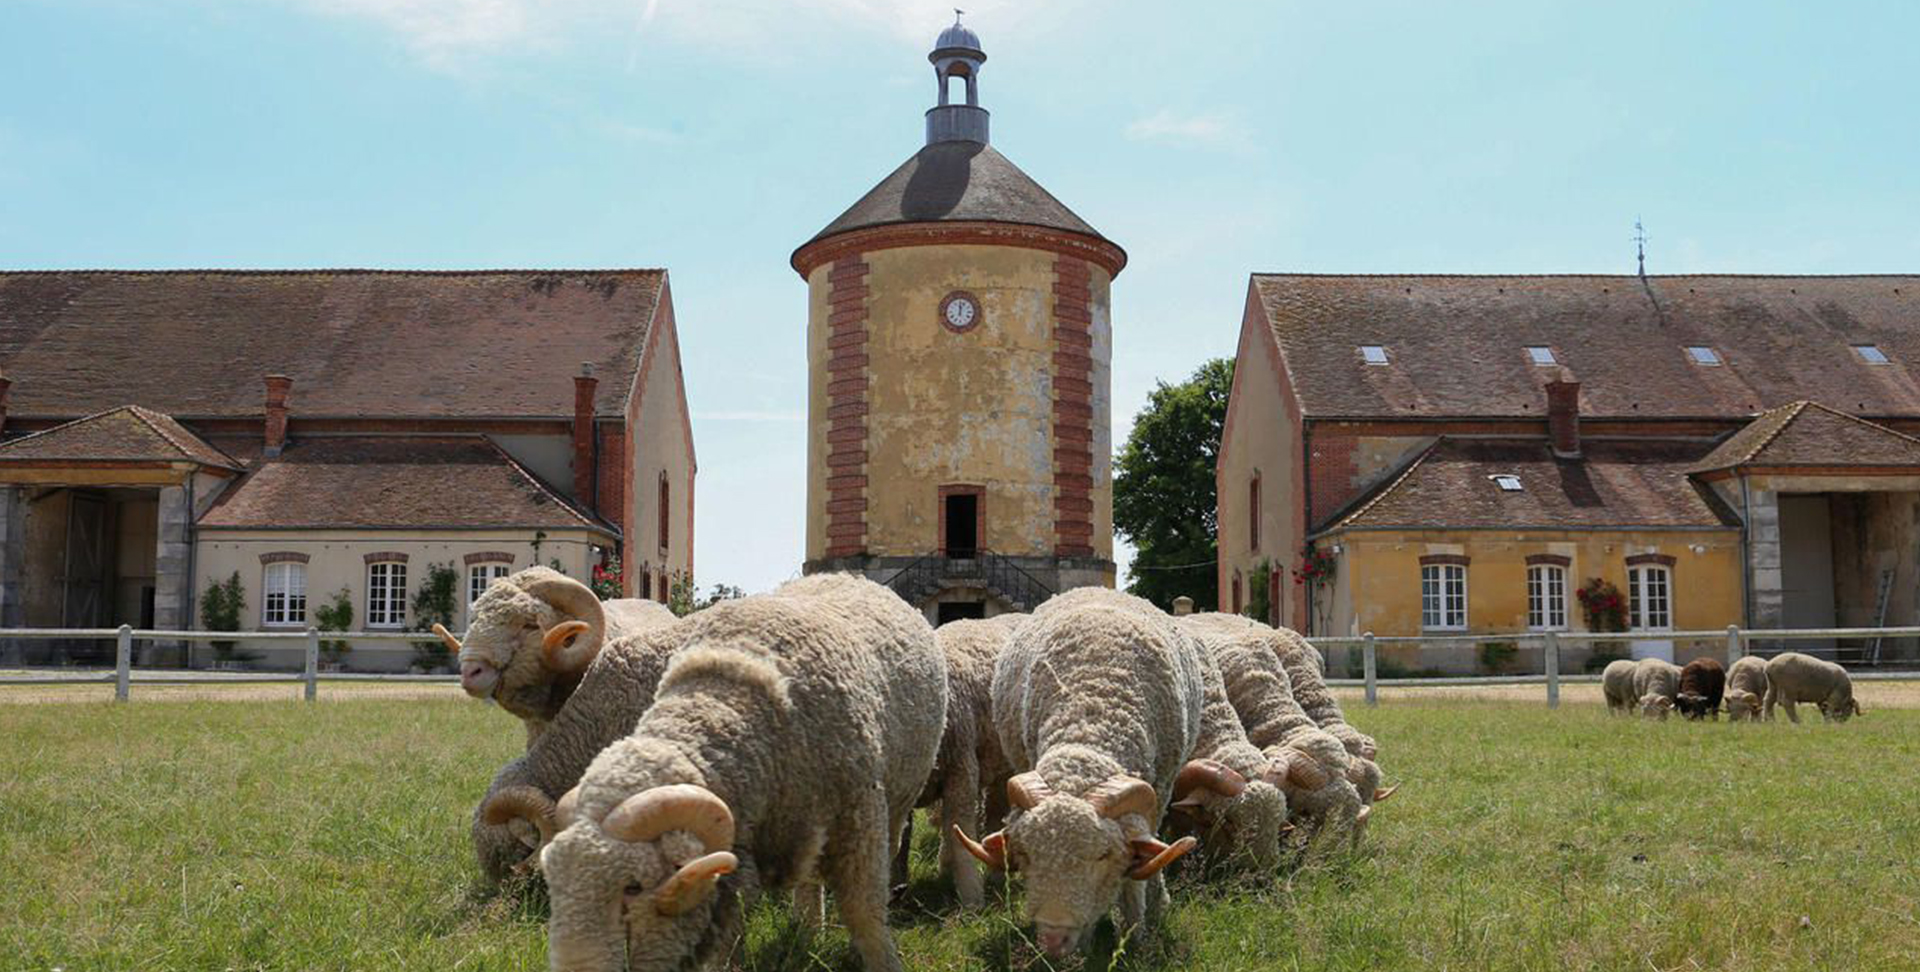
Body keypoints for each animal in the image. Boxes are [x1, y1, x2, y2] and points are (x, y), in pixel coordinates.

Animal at [537, 568, 940, 972]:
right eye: (553, 879)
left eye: (633, 887)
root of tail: (847, 575)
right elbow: (730, 941)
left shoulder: (860, 818)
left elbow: (864, 912)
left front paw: (880, 959)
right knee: (810, 881)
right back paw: (808, 930)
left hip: (897, 799)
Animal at [960, 587, 1213, 960]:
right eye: (1026, 855)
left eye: (1103, 856)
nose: (1053, 940)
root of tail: (1096, 588)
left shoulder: (1161, 788)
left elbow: (1137, 875)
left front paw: (1138, 929)